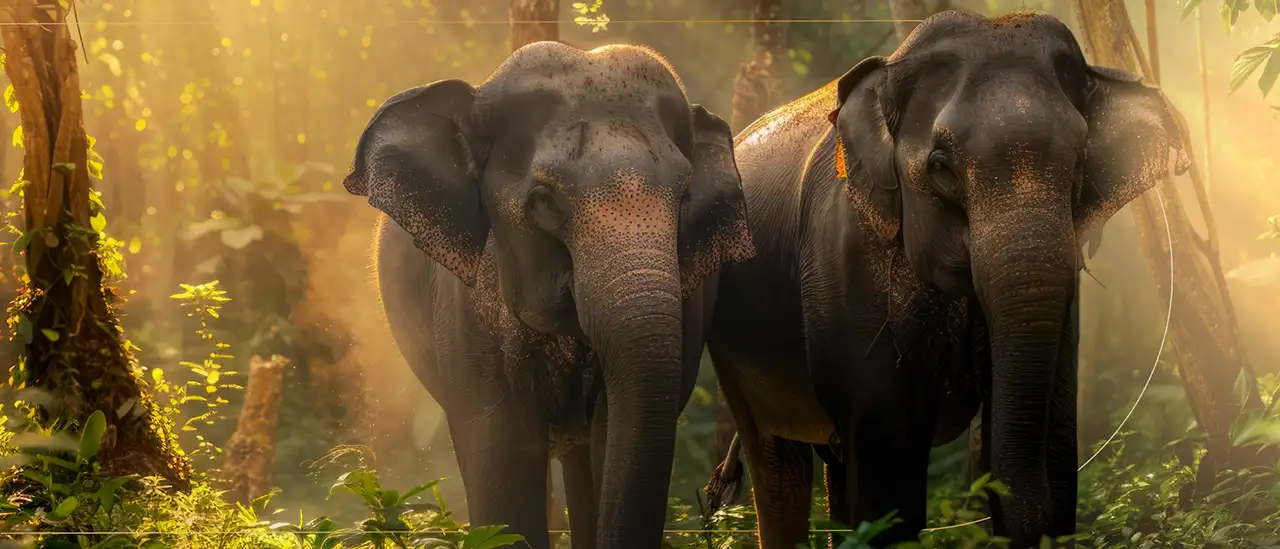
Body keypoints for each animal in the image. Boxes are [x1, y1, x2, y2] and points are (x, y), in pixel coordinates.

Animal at [701, 10, 1188, 549]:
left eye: (1081, 163)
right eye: (941, 167)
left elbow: (1058, 433)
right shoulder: (841, 254)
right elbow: (886, 451)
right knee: (778, 464)